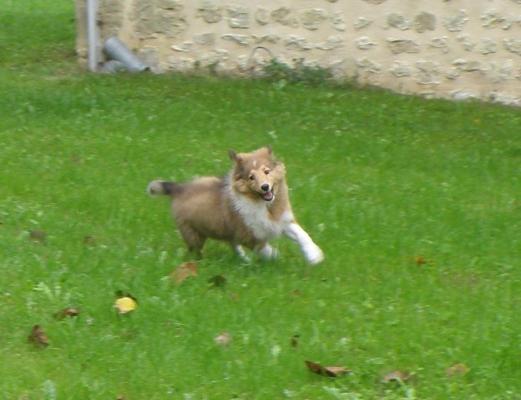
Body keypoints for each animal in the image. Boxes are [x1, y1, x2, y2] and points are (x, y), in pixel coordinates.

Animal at [146, 147, 322, 266]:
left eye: (267, 171)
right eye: (251, 177)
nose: (265, 187)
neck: (264, 205)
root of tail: (178, 188)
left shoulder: (281, 221)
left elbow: (302, 234)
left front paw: (315, 256)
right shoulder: (249, 234)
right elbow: (264, 249)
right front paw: (276, 258)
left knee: (232, 244)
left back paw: (243, 259)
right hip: (193, 233)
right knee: (197, 249)